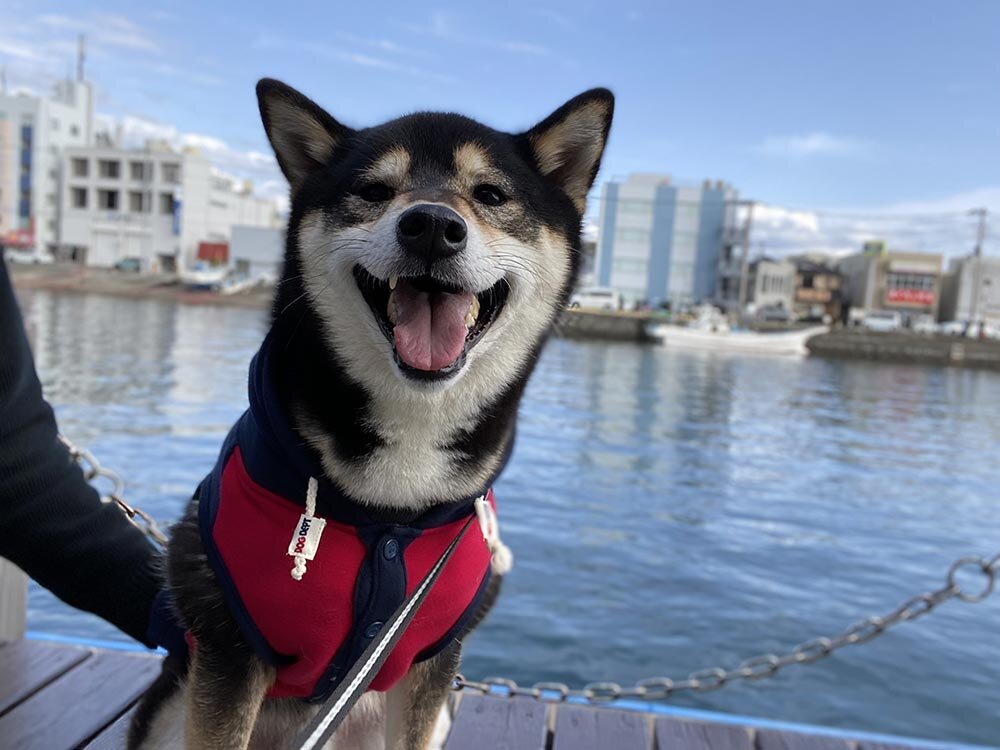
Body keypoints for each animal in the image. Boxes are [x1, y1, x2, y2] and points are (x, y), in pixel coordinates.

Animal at [129, 78, 612, 750]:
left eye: (491, 194)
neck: (393, 504)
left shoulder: (431, 664)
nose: (432, 225)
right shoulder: (229, 649)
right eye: (375, 191)